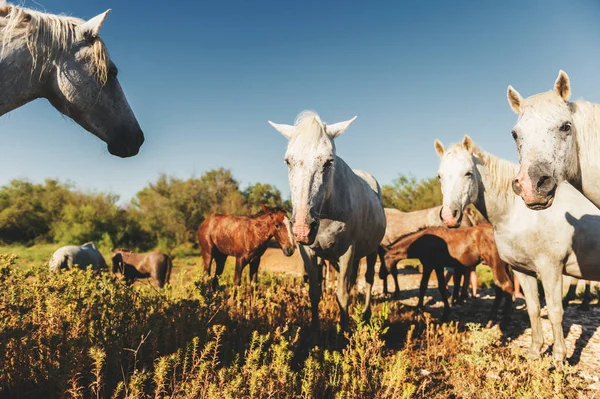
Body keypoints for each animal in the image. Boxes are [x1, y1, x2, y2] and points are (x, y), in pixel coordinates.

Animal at [270, 111, 386, 336]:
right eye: (288, 161)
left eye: (328, 162)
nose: (302, 229)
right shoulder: (308, 252)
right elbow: (315, 291)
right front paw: (315, 331)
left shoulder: (347, 251)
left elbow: (342, 295)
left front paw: (342, 334)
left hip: (372, 250)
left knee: (368, 279)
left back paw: (366, 315)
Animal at [436, 135, 600, 362]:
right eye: (440, 176)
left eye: (468, 173)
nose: (449, 216)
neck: (521, 213)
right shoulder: (522, 271)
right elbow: (533, 308)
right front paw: (535, 351)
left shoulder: (551, 269)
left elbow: (555, 311)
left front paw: (559, 357)